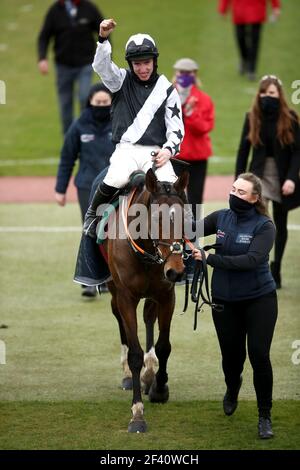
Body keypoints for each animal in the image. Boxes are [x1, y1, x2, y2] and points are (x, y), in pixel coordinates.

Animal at [102, 167, 188, 432]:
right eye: (156, 219)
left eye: (186, 218)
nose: (176, 271)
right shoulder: (126, 297)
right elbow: (135, 354)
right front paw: (137, 414)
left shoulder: (166, 294)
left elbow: (164, 346)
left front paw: (159, 388)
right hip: (114, 289)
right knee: (118, 317)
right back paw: (129, 375)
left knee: (149, 316)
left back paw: (150, 374)